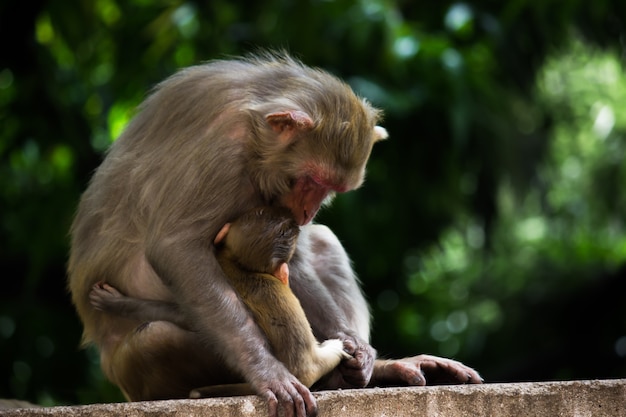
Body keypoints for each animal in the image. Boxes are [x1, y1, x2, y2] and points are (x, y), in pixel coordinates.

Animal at [89, 207, 352, 394]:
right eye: (284, 232)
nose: (292, 221)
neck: (239, 268)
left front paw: (117, 303)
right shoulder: (280, 296)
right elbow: (305, 369)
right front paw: (337, 347)